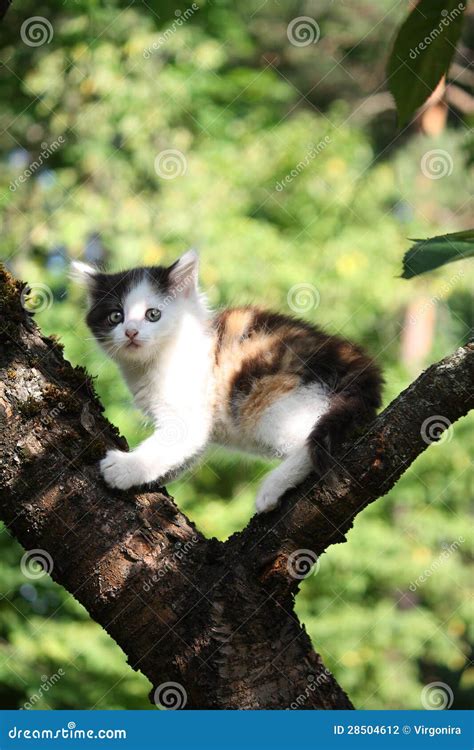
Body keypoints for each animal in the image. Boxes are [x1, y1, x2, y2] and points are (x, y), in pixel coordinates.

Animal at [72, 250, 384, 516]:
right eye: (116, 316)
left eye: (153, 314)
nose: (131, 332)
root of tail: (358, 362)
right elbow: (183, 451)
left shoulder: (189, 408)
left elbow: (175, 440)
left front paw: (125, 467)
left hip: (272, 401)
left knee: (309, 442)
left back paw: (272, 487)